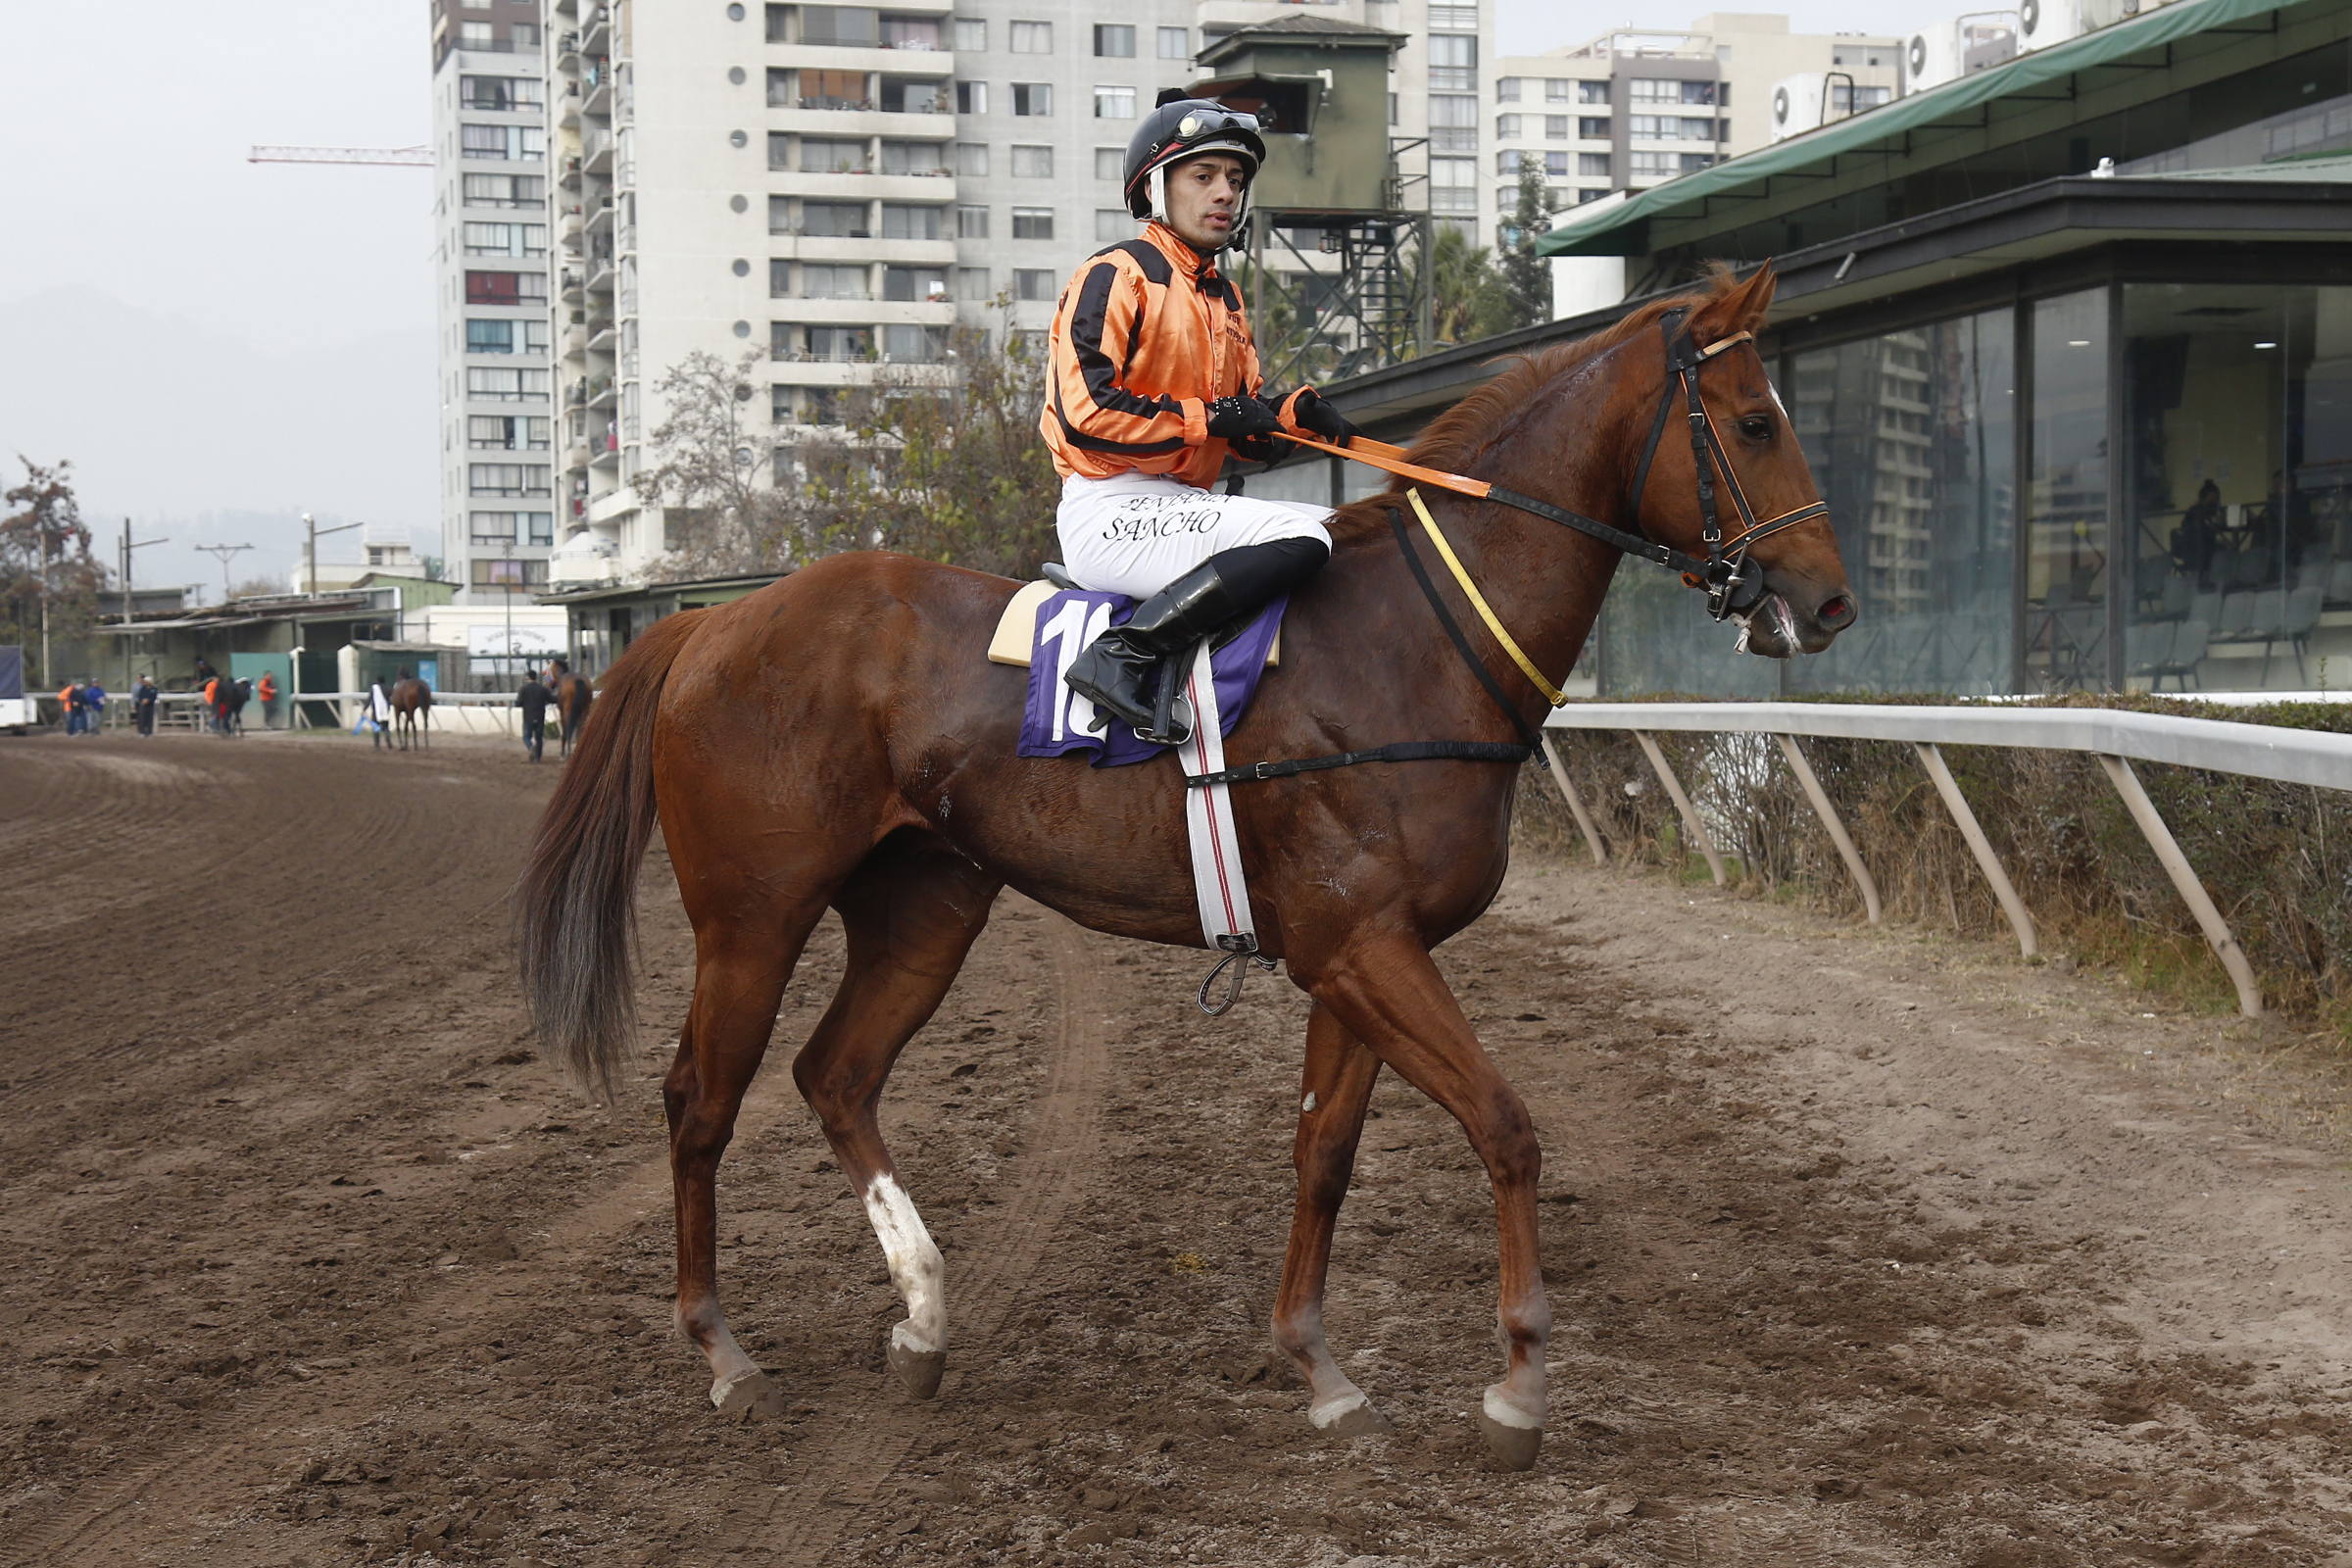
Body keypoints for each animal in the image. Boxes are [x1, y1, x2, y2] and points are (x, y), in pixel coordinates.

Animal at [518, 264, 1855, 1469]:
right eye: (1755, 421)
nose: (1829, 601)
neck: (1417, 642)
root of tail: (712, 620)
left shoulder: (1359, 954)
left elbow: (1325, 1156)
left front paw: (1317, 1366)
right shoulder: (1360, 946)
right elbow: (1508, 1127)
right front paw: (1519, 1386)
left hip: (926, 906)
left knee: (834, 1074)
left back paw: (925, 1319)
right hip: (752, 916)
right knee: (702, 1100)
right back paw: (723, 1352)